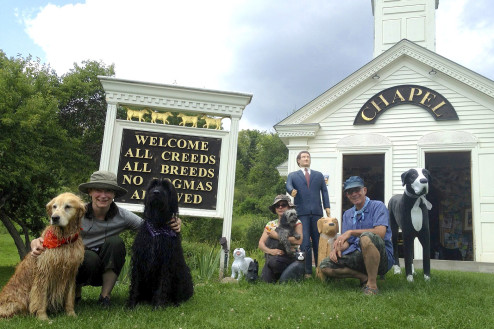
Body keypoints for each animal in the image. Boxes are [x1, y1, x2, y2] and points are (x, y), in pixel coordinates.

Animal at [127, 178, 193, 306]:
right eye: (153, 186)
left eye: (166, 187)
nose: (156, 192)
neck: (157, 225)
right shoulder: (140, 258)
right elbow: (136, 282)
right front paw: (131, 303)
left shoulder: (166, 261)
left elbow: (163, 283)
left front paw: (158, 305)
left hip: (184, 273)